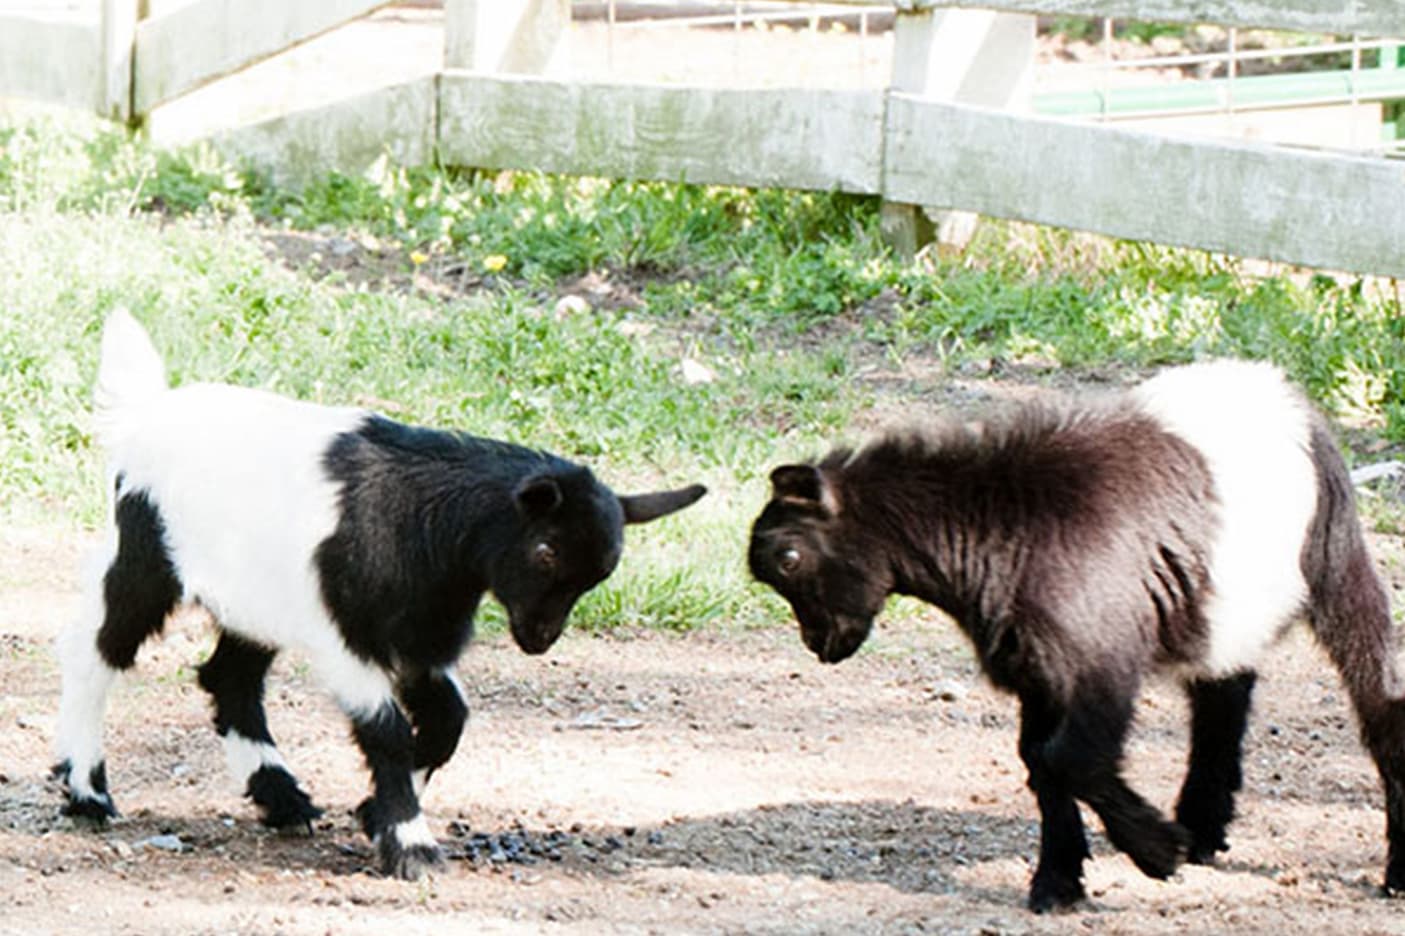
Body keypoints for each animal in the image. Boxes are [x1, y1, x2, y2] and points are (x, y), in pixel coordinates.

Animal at [54, 309, 706, 878]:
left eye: (601, 574)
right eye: (545, 551)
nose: (540, 639)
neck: (429, 527)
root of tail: (145, 413)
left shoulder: (417, 635)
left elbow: (448, 720)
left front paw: (376, 813)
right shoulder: (353, 640)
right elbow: (388, 731)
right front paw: (411, 846)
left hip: (258, 598)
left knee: (229, 678)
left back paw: (282, 798)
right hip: (143, 558)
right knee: (96, 652)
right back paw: (88, 791)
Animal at [748, 359, 1405, 911]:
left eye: (788, 558)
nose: (818, 644)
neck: (1002, 528)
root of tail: (1279, 388)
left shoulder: (1100, 656)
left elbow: (1071, 757)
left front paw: (1156, 851)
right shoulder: (1036, 666)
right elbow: (1040, 761)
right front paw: (1059, 883)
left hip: (1334, 557)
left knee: (1378, 699)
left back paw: (1392, 872)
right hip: (1219, 610)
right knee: (1222, 697)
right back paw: (1203, 827)